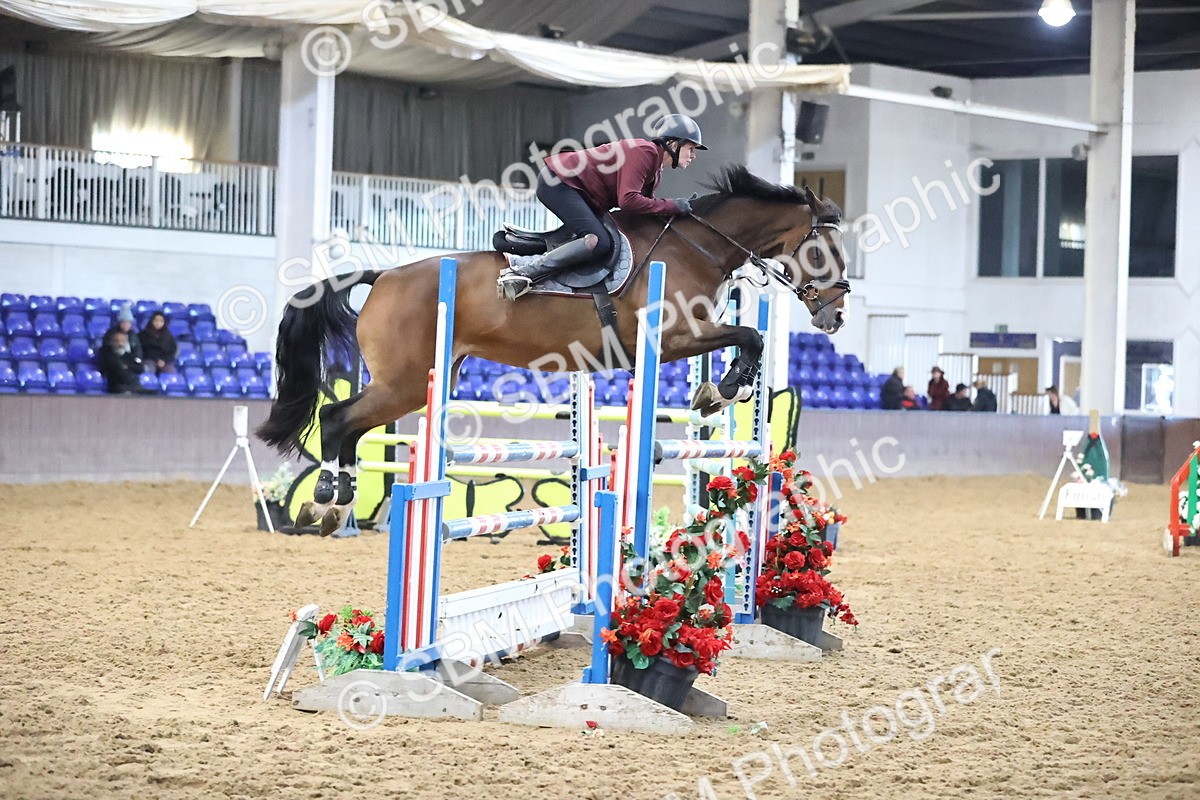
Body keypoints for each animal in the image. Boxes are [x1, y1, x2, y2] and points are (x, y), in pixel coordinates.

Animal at [258, 165, 851, 535]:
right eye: (823, 251)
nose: (836, 315)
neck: (696, 246)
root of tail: (383, 276)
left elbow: (748, 340)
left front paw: (720, 391)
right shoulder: (673, 336)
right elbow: (749, 337)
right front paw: (722, 390)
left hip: (421, 379)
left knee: (351, 427)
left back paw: (335, 507)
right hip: (403, 381)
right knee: (337, 419)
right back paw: (325, 501)